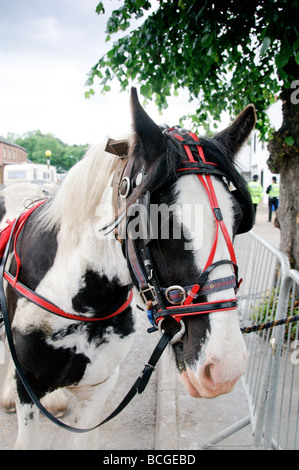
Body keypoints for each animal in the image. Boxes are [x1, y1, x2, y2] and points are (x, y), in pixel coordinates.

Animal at [0, 86, 255, 450]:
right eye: (160, 221)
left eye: (238, 218)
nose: (225, 365)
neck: (83, 301)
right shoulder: (29, 390)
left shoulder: (100, 386)